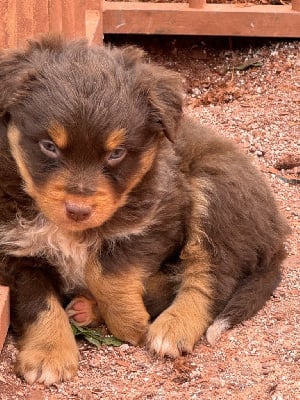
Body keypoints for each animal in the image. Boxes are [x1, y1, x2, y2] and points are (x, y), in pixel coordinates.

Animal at [0, 36, 290, 386]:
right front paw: (50, 353)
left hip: (215, 191)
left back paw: (171, 327)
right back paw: (87, 310)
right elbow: (37, 300)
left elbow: (107, 273)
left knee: (211, 276)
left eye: (116, 153)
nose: (78, 210)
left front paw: (130, 323)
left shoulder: (156, 220)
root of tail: (277, 235)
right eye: (49, 147)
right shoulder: (16, 249)